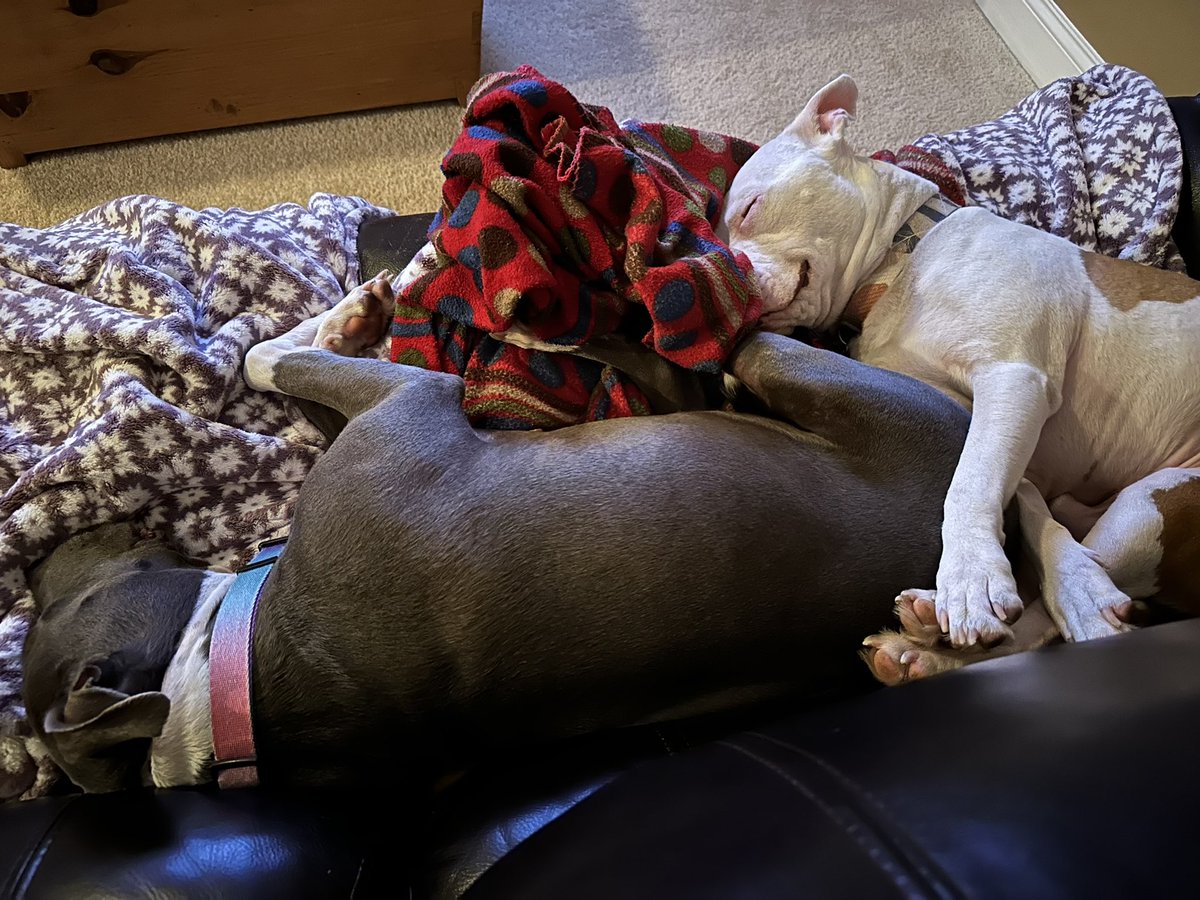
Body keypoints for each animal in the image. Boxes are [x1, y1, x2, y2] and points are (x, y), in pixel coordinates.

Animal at [21, 277, 974, 796]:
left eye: (61, 602)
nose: (32, 563)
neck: (221, 677)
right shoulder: (411, 403)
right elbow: (269, 355)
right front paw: (329, 324)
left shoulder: (389, 407)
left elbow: (288, 367)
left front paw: (345, 320)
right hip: (805, 374)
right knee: (708, 356)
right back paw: (559, 323)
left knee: (686, 373)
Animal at [720, 75, 1200, 681]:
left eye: (749, 209)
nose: (726, 271)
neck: (901, 262)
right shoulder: (983, 415)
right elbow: (1019, 499)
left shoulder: (1013, 379)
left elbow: (968, 485)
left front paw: (970, 579)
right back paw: (922, 647)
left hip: (1147, 509)